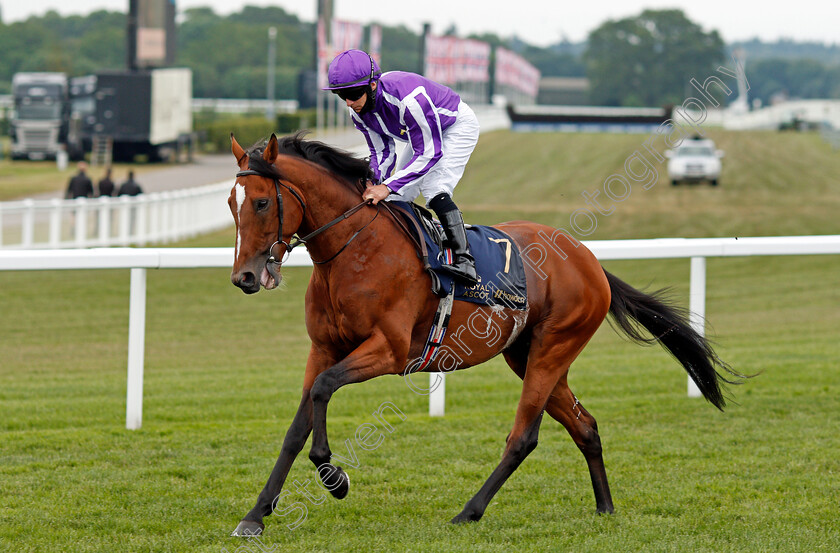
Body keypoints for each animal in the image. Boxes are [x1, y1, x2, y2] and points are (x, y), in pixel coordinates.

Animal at [226, 133, 740, 536]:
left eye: (262, 201)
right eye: (232, 204)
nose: (245, 277)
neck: (355, 250)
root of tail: (589, 261)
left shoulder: (389, 351)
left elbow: (324, 389)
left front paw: (335, 477)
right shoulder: (324, 347)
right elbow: (298, 424)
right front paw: (256, 514)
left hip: (553, 348)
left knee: (523, 437)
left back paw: (468, 511)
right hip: (528, 356)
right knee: (586, 426)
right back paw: (605, 507)